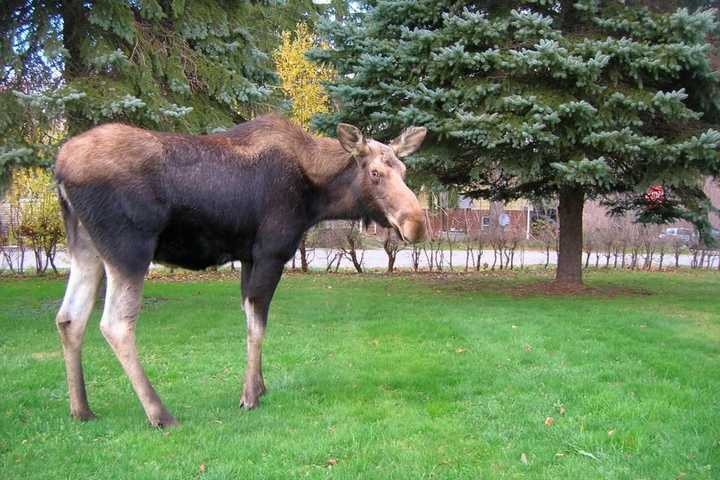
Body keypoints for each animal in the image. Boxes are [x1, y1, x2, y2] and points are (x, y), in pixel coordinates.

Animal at [54, 115, 427, 427]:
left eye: (404, 170)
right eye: (375, 173)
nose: (417, 223)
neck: (316, 196)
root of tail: (59, 168)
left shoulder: (247, 257)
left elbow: (249, 319)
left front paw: (259, 386)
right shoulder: (270, 253)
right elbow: (258, 325)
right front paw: (249, 397)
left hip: (86, 249)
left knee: (69, 317)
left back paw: (81, 409)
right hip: (129, 250)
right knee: (115, 324)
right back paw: (160, 414)